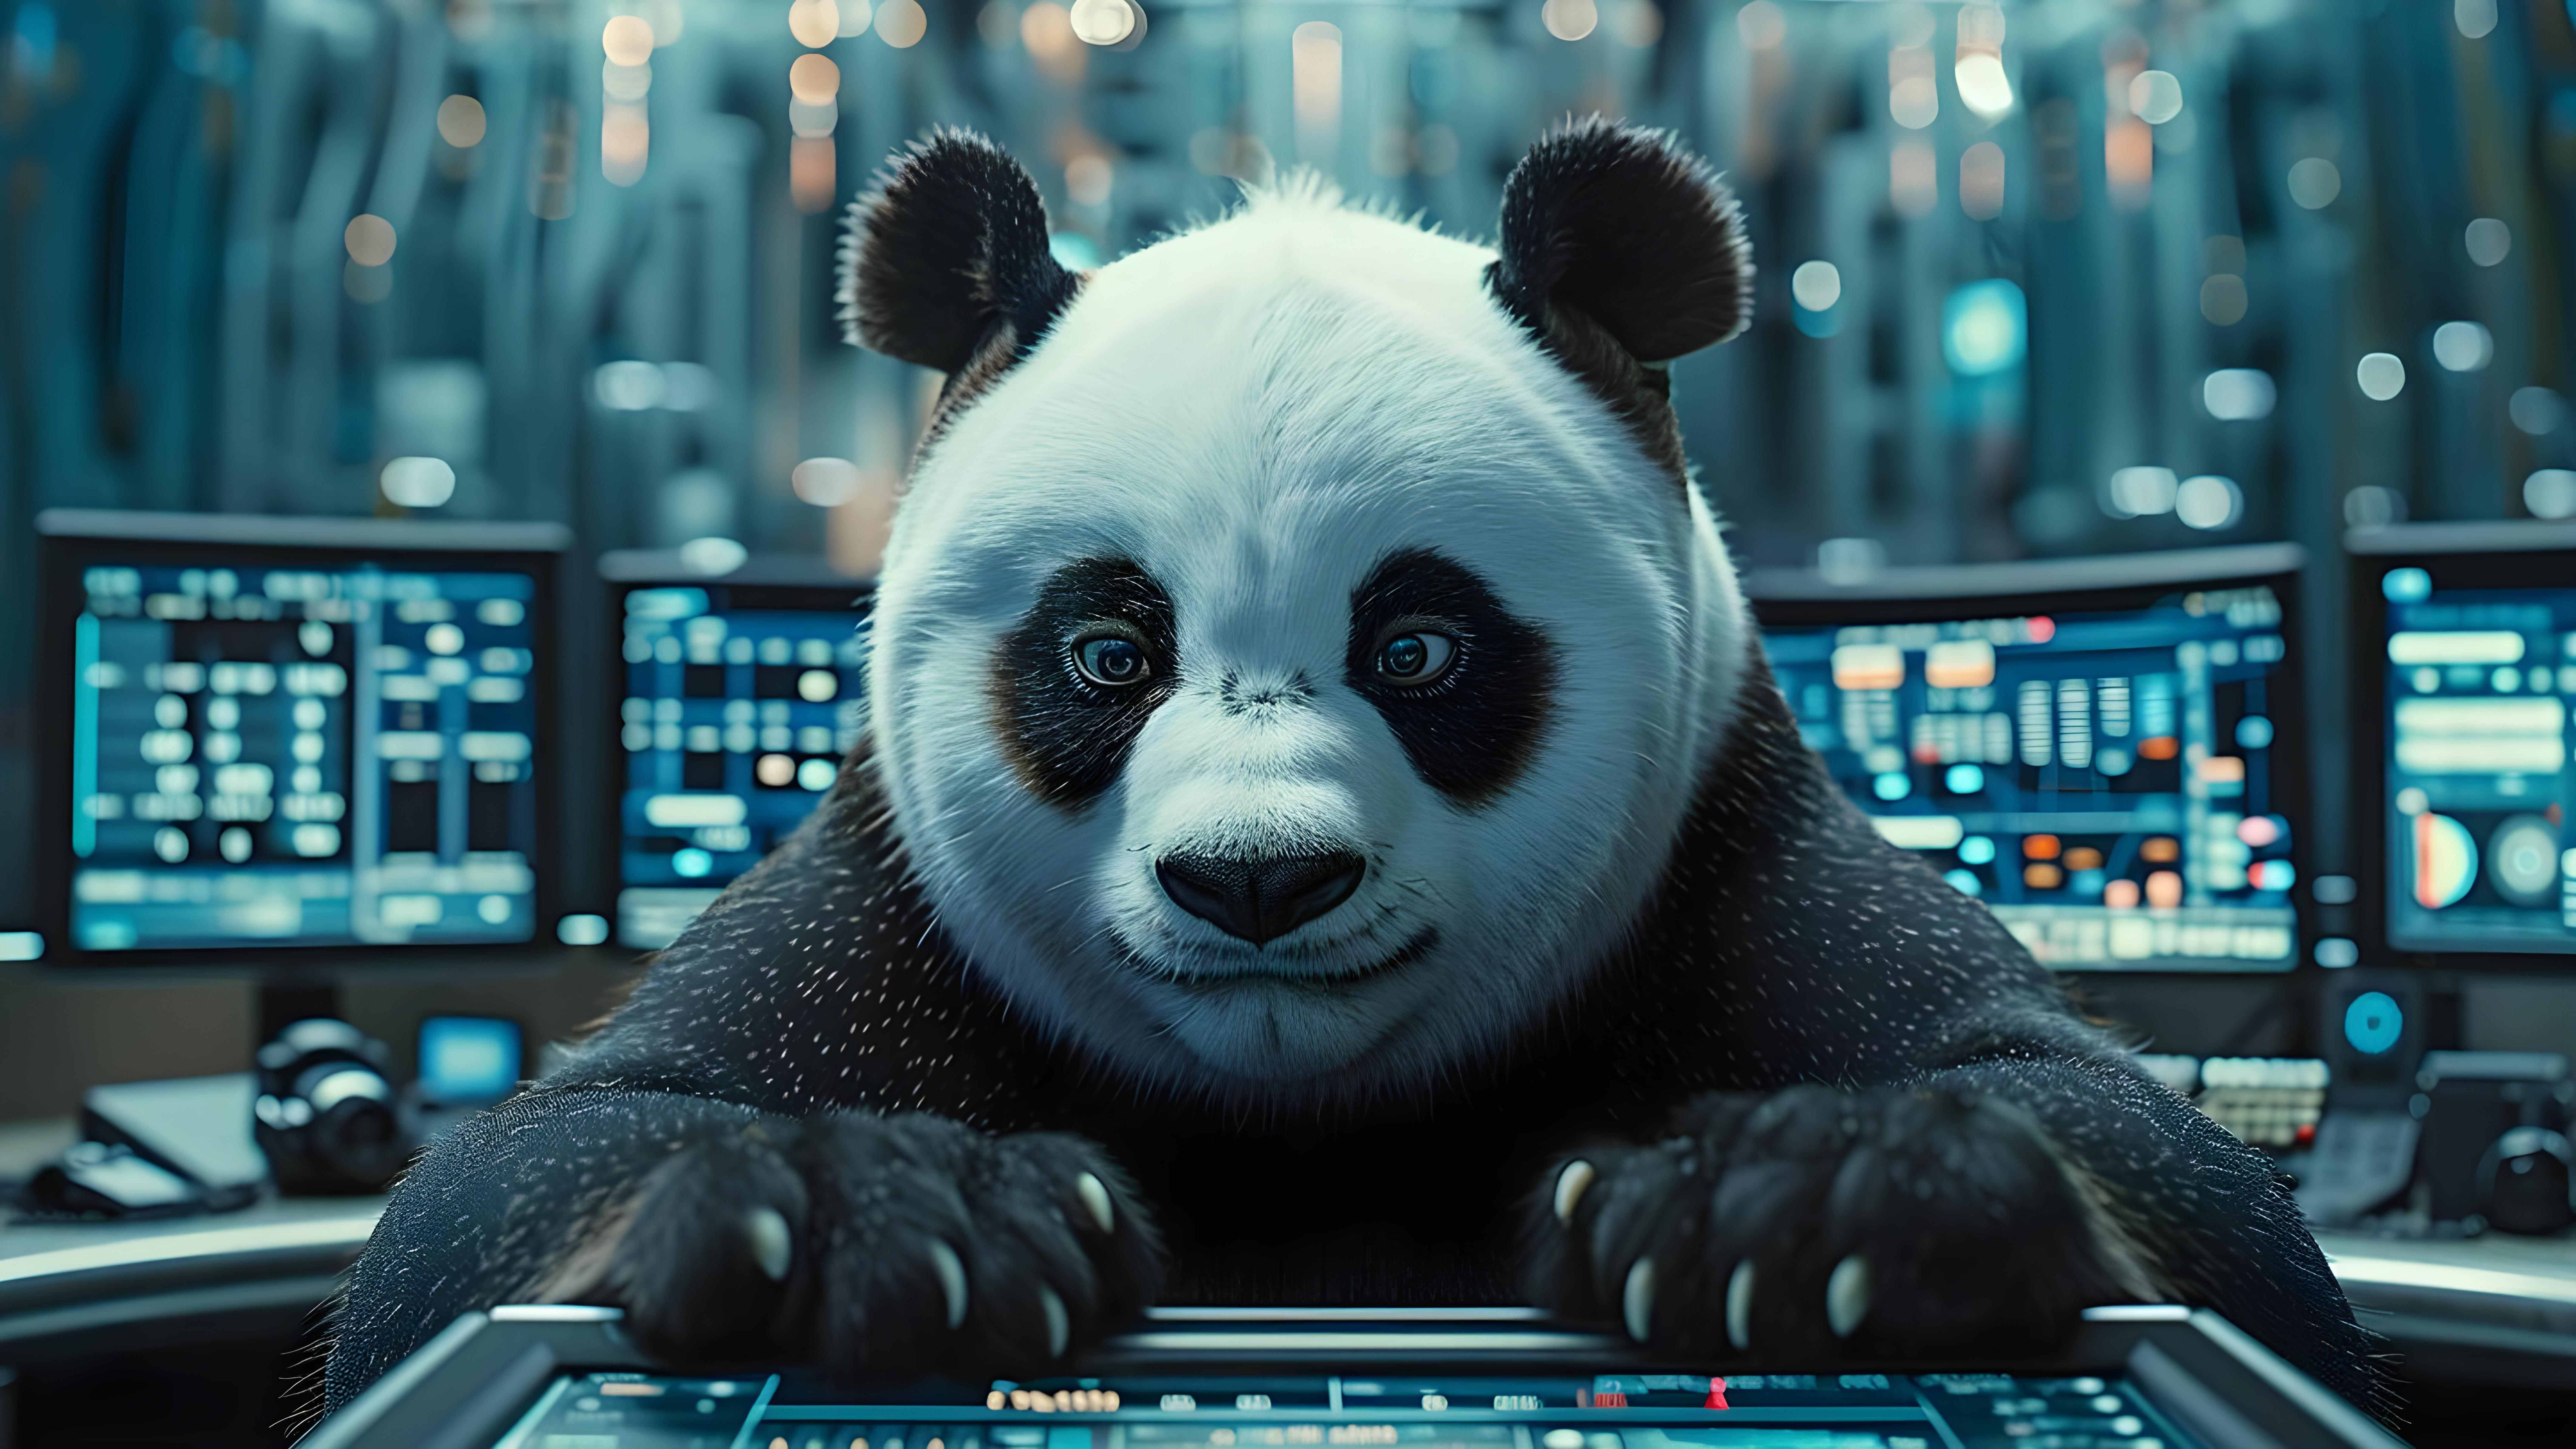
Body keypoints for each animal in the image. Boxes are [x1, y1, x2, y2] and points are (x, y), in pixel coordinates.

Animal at [323, 119, 2375, 1418]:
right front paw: (876, 1218)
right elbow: (524, 1170)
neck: (1304, 1109)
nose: (1255, 882)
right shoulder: (886, 901)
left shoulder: (1730, 854)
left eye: (1417, 649)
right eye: (1107, 652)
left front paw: (1810, 1200)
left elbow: (2157, 1166)